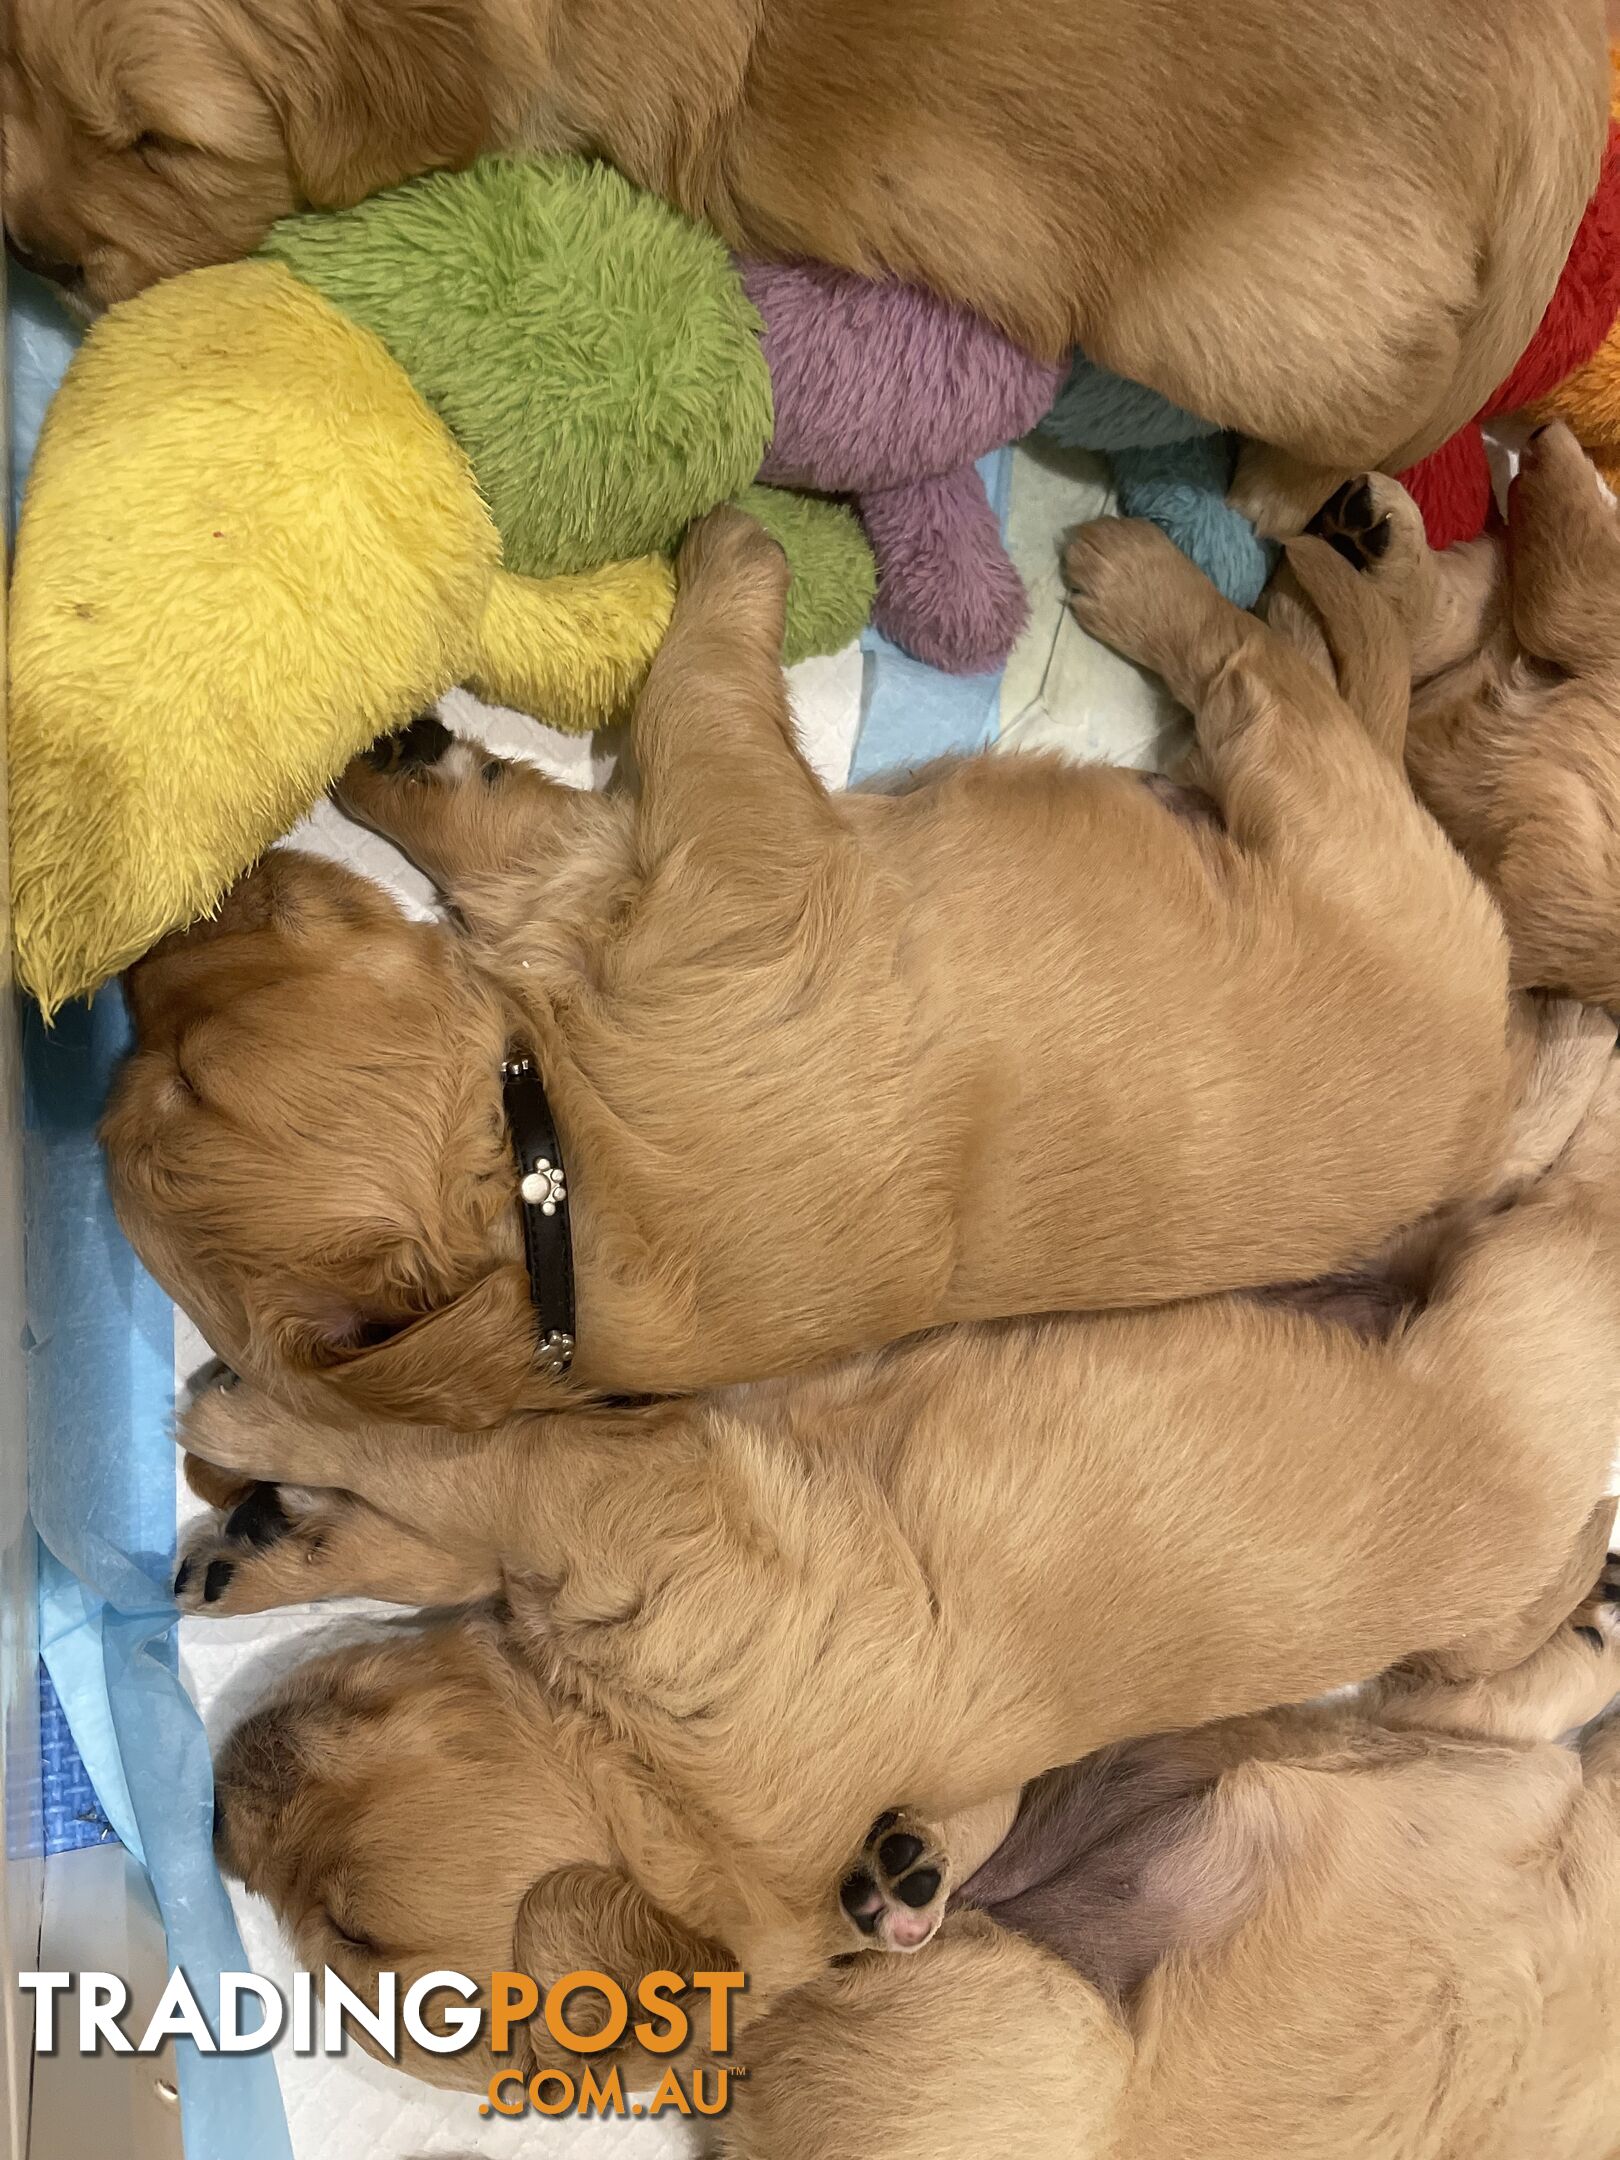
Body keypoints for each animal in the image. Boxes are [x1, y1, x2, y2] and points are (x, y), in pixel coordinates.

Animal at [104, 503, 1520, 1425]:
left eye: (187, 1075)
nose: (129, 969)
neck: (539, 1177)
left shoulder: (644, 870)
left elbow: (545, 783)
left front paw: (382, 751)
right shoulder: (730, 858)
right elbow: (688, 697)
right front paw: (737, 539)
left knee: (1292, 666)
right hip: (1322, 809)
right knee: (1263, 668)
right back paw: (1144, 569)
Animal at [193, 1062, 1620, 2039]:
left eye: (351, 1929)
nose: (212, 1824)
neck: (641, 1774)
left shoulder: (596, 1486)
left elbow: (423, 1456)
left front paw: (254, 1414)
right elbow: (414, 1541)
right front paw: (260, 1549)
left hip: (1511, 1309)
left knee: (1571, 1203)